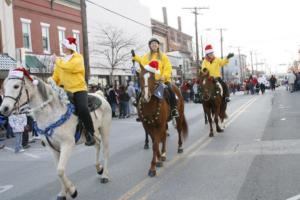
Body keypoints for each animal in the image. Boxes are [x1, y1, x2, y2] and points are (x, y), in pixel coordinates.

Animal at [0, 72, 111, 200]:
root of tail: (100, 95)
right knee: (97, 145)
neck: (52, 114)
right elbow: (58, 171)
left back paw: (105, 175)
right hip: (93, 133)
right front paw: (63, 193)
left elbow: (60, 170)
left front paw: (72, 191)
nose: (4, 109)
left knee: (105, 151)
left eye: (16, 86)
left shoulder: (67, 144)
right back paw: (99, 168)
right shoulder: (52, 148)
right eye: (4, 87)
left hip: (104, 129)